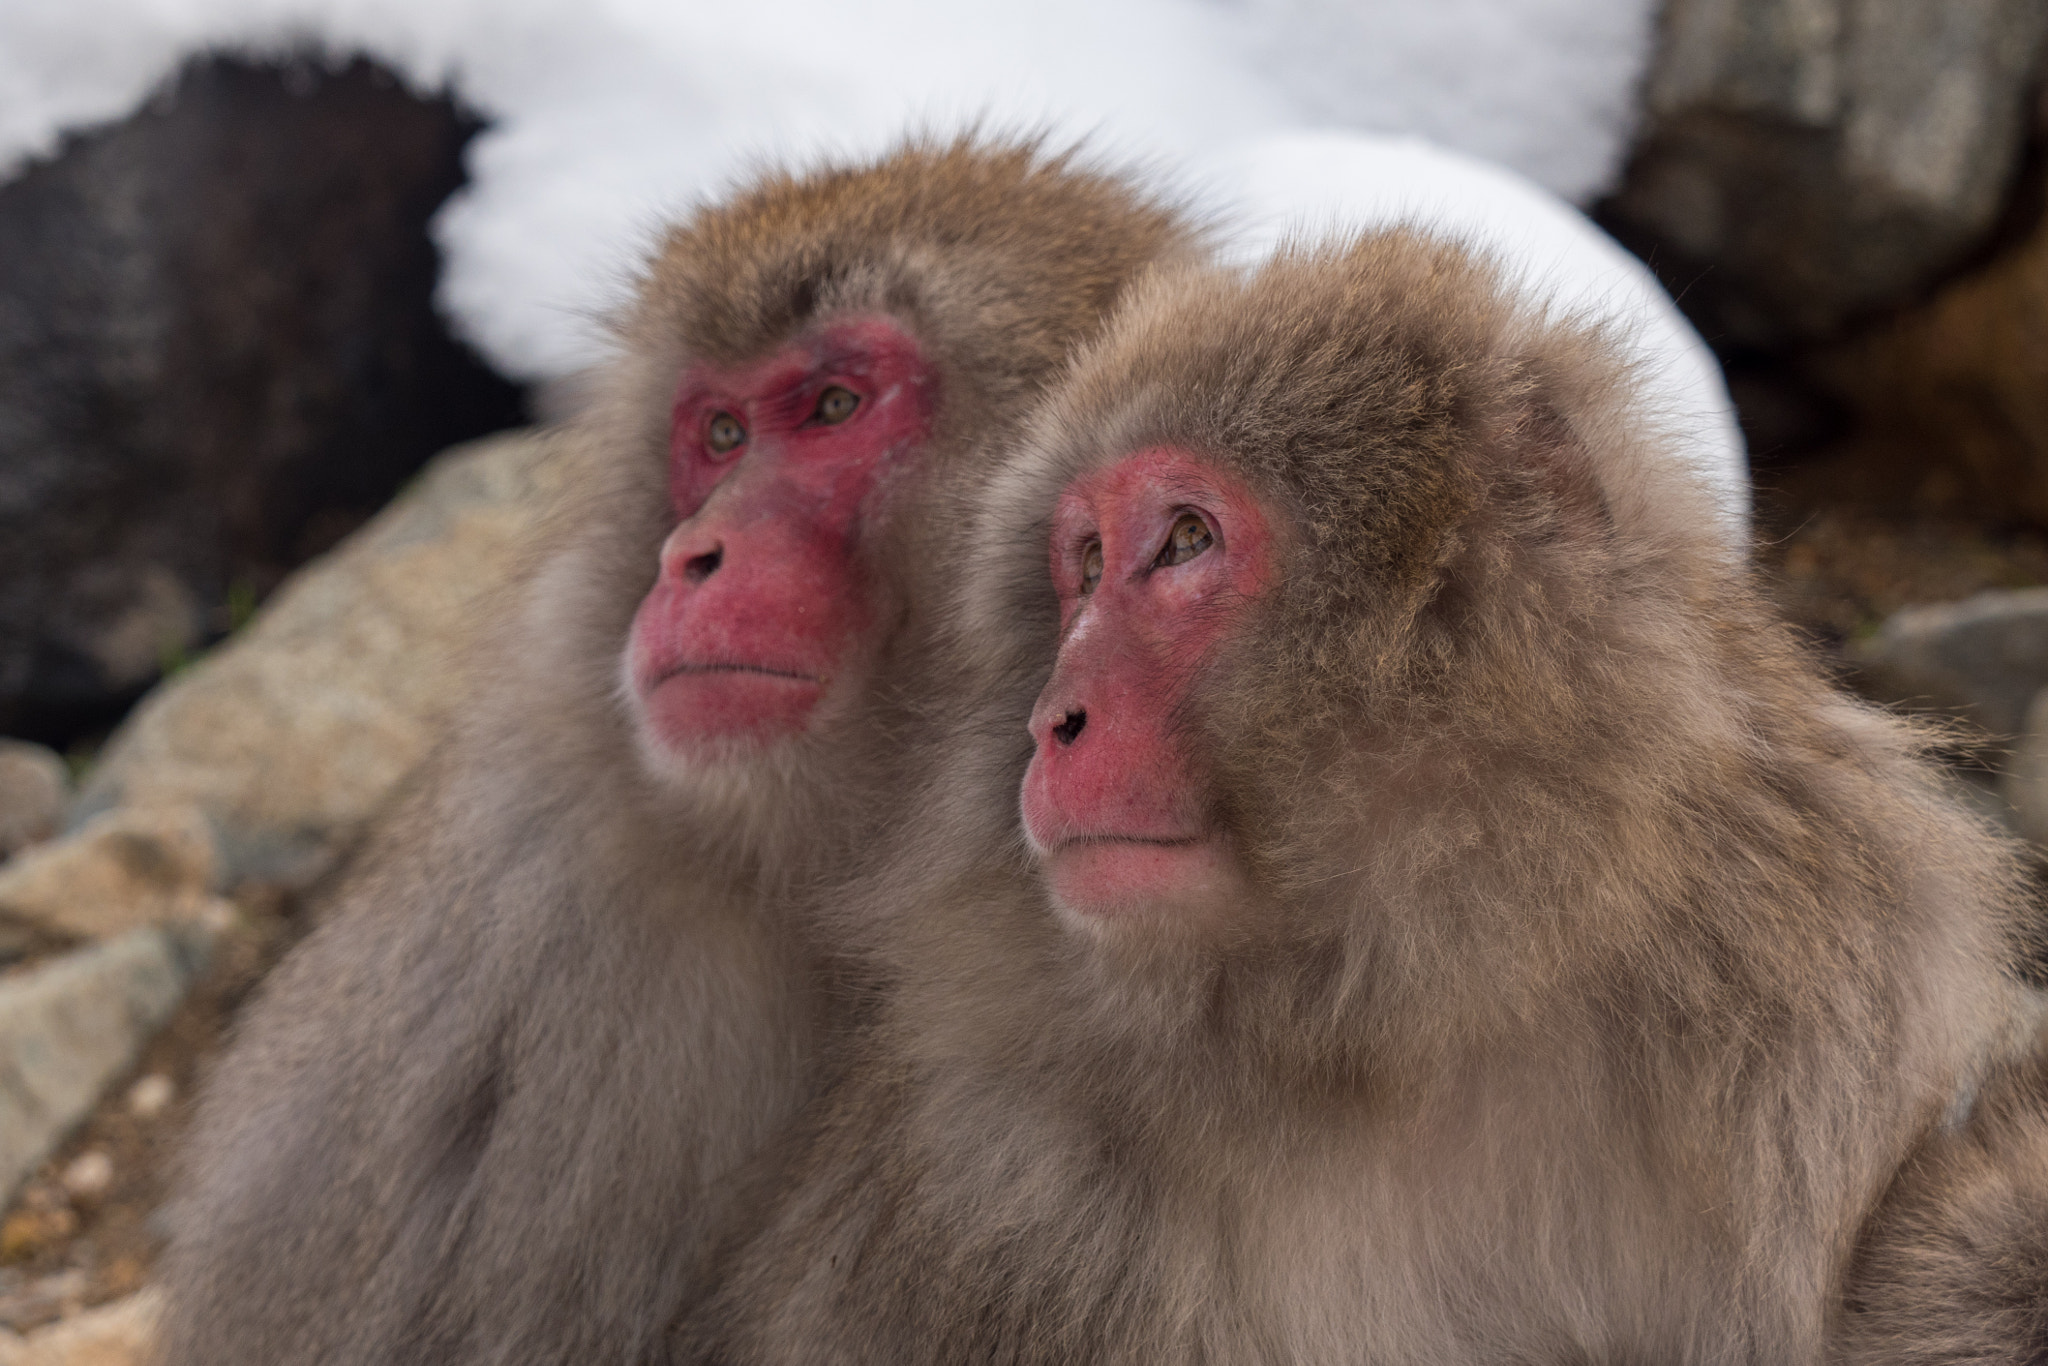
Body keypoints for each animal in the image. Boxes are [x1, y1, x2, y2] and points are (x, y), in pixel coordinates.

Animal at [667, 235, 2031, 1366]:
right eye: (1086, 564)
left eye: (1184, 540)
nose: (1048, 720)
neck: (1417, 992)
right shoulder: (1005, 1178)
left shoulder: (1815, 1007)